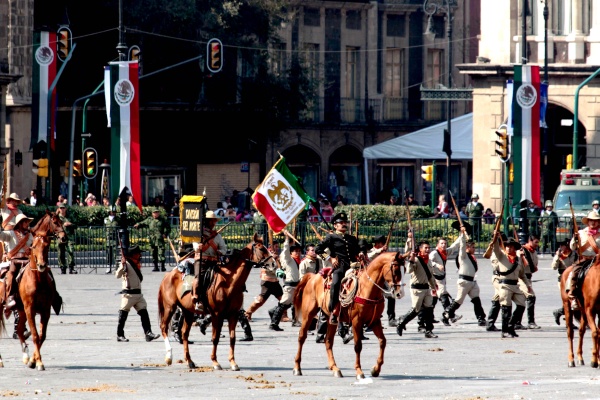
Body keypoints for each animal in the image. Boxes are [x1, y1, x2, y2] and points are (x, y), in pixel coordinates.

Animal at [0, 211, 65, 370]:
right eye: (34, 246)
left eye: (47, 246)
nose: (63, 237)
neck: (38, 279)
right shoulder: (30, 309)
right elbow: (35, 335)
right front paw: (38, 361)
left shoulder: (45, 310)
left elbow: (41, 336)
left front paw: (34, 360)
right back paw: (1, 360)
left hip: (20, 309)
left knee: (19, 331)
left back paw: (25, 355)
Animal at [159, 233, 272, 370]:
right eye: (261, 248)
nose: (273, 263)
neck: (229, 282)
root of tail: (168, 275)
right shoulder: (217, 315)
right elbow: (215, 337)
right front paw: (215, 362)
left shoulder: (233, 314)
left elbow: (232, 337)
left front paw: (233, 362)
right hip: (170, 306)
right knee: (164, 327)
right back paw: (169, 357)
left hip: (188, 311)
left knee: (184, 333)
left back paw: (189, 361)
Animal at [290, 252, 404, 380]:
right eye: (395, 270)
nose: (399, 293)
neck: (366, 287)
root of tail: (313, 277)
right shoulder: (356, 321)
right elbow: (358, 345)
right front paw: (359, 371)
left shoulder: (375, 321)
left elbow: (382, 341)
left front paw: (376, 369)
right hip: (308, 314)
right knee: (301, 337)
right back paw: (297, 368)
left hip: (331, 319)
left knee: (328, 341)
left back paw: (335, 369)